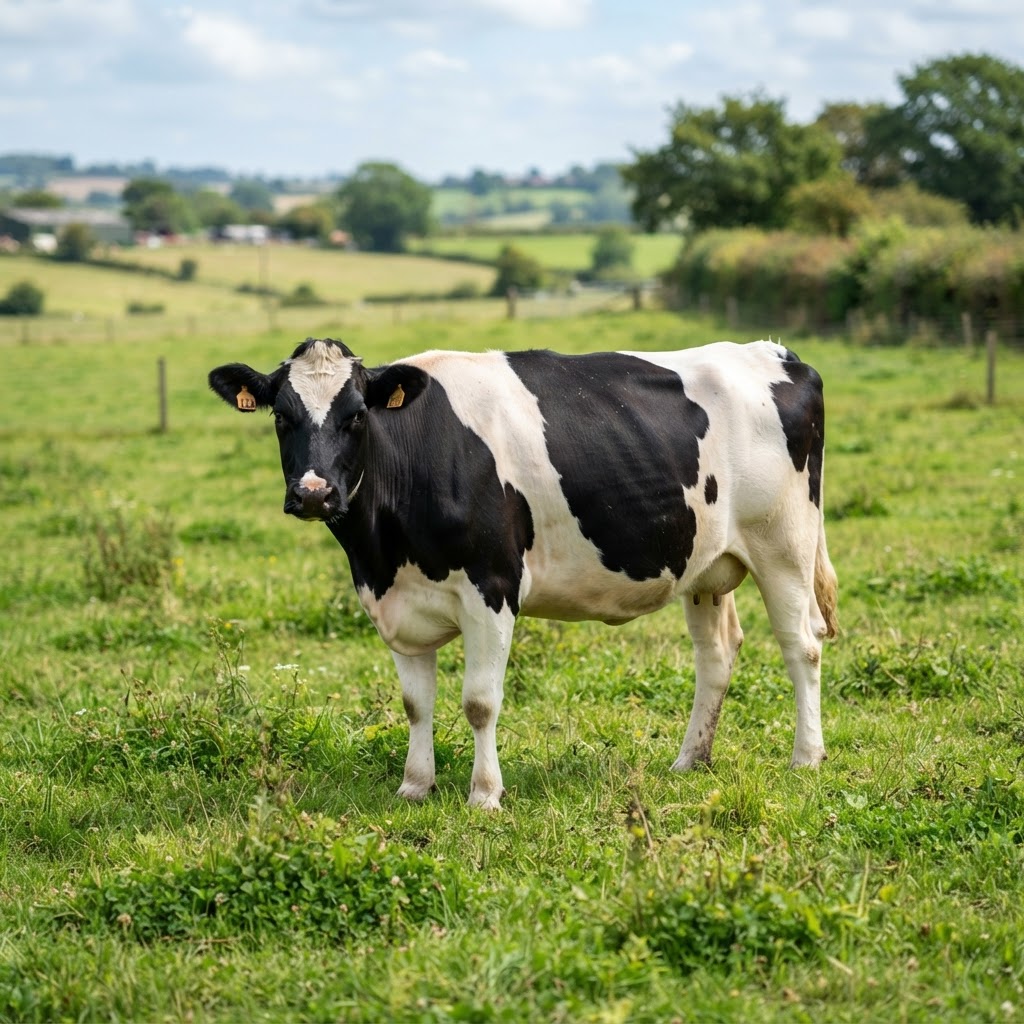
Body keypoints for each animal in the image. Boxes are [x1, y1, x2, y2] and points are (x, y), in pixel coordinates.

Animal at [209, 337, 838, 809]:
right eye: (282, 416)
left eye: (357, 415)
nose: (315, 493)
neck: (382, 549)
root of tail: (775, 353)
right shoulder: (397, 602)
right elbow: (416, 704)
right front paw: (415, 786)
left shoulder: (492, 587)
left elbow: (480, 701)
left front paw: (485, 794)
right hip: (705, 563)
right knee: (717, 654)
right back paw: (690, 759)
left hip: (784, 542)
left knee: (801, 645)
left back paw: (807, 757)